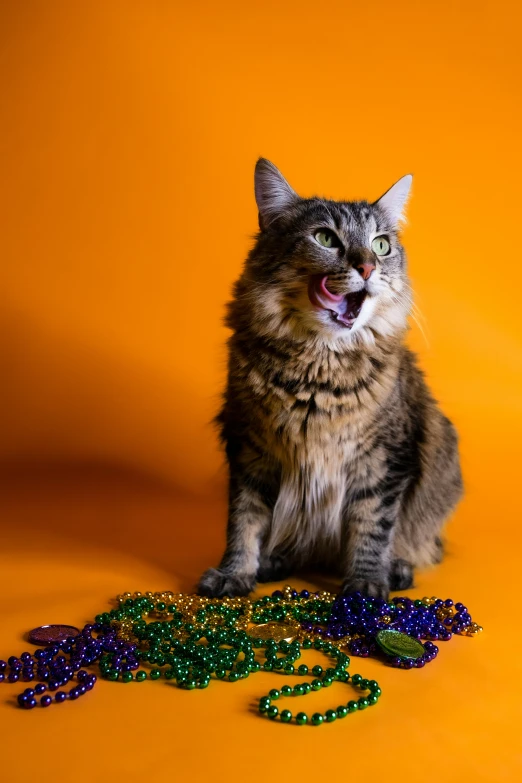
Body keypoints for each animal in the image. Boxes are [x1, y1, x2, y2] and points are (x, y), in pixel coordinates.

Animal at [196, 159, 460, 600]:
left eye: (381, 245)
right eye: (325, 238)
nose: (367, 266)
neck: (317, 371)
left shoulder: (385, 460)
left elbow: (373, 526)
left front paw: (367, 583)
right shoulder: (249, 449)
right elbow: (244, 522)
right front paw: (236, 572)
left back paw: (397, 569)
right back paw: (275, 561)